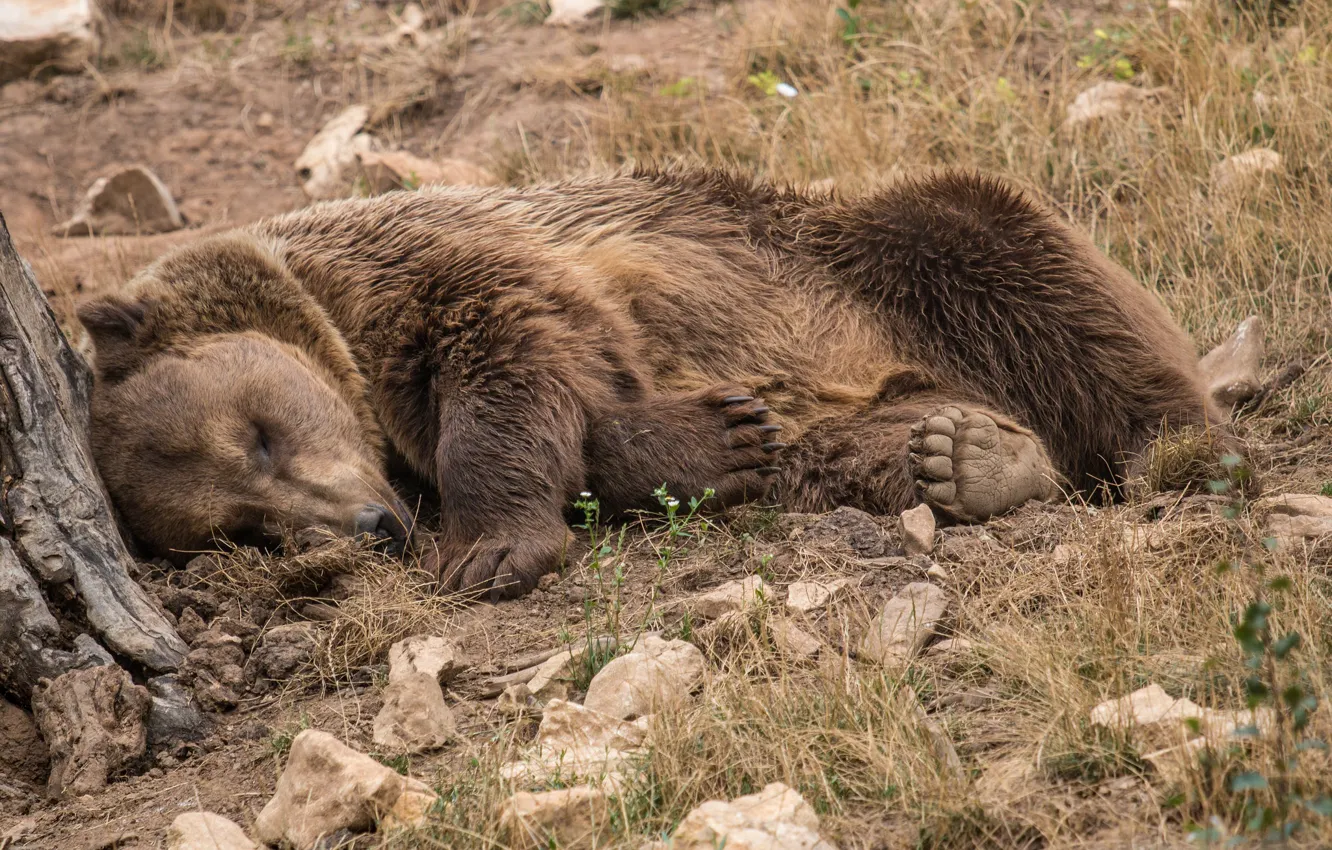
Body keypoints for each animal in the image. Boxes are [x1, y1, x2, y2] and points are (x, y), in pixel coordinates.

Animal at [77, 166, 1230, 599]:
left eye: (259, 431)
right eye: (239, 526)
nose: (372, 526)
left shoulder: (445, 269)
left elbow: (516, 369)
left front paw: (490, 548)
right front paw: (716, 436)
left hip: (862, 251)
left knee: (1021, 265)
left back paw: (1174, 445)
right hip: (870, 393)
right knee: (849, 452)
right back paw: (966, 454)